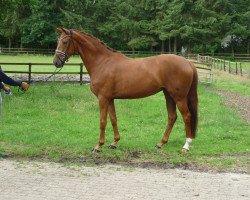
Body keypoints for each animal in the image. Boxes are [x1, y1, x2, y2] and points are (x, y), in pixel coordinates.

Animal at [53, 28, 198, 152]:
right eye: (58, 41)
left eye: (64, 42)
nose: (56, 62)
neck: (103, 62)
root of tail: (188, 62)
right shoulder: (110, 99)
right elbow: (113, 119)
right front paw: (114, 143)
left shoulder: (103, 98)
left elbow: (102, 121)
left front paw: (98, 146)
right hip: (169, 95)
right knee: (172, 117)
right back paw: (161, 143)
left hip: (179, 97)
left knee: (186, 116)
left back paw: (186, 145)